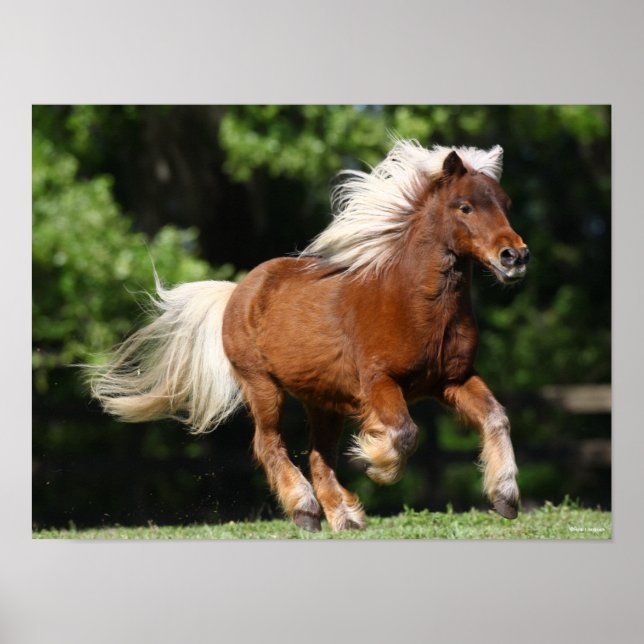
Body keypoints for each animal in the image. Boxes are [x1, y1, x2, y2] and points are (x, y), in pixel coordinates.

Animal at [90, 139, 530, 532]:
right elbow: (405, 433)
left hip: (324, 402)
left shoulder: (453, 379)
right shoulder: (379, 382)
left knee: (319, 458)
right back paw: (305, 510)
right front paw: (374, 461)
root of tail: (236, 292)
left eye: (506, 204)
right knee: (269, 444)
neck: (412, 305)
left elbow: (496, 417)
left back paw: (346, 517)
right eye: (465, 206)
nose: (515, 257)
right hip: (263, 387)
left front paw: (505, 497)